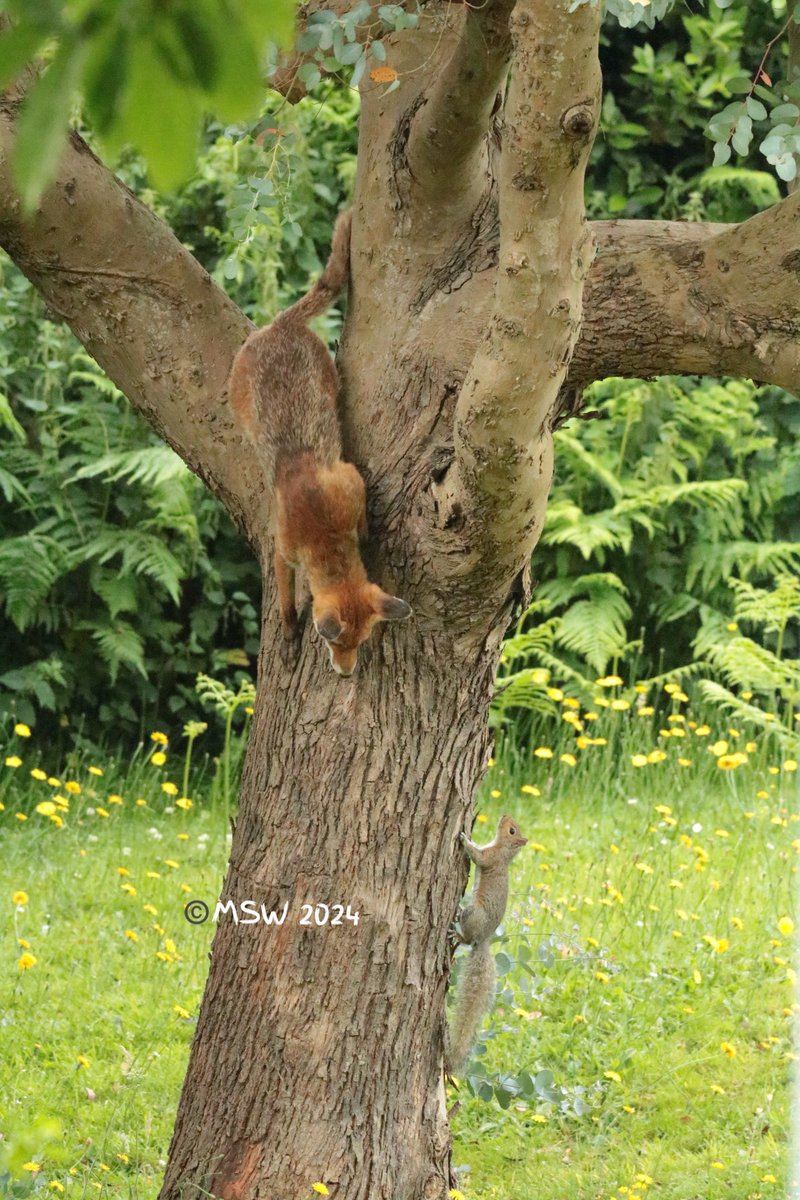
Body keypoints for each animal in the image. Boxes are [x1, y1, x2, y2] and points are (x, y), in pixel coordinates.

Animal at [228, 208, 412, 676]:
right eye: (333, 642)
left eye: (360, 642)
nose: (345, 673)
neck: (324, 531)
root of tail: (280, 325)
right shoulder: (283, 550)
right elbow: (286, 603)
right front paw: (290, 634)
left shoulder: (349, 479)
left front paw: (366, 533)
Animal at [446, 814, 527, 1075]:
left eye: (511, 831)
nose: (504, 815)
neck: (503, 850)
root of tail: (482, 940)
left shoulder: (490, 857)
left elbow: (478, 856)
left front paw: (464, 839)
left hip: (473, 913)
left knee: (466, 936)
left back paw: (458, 934)